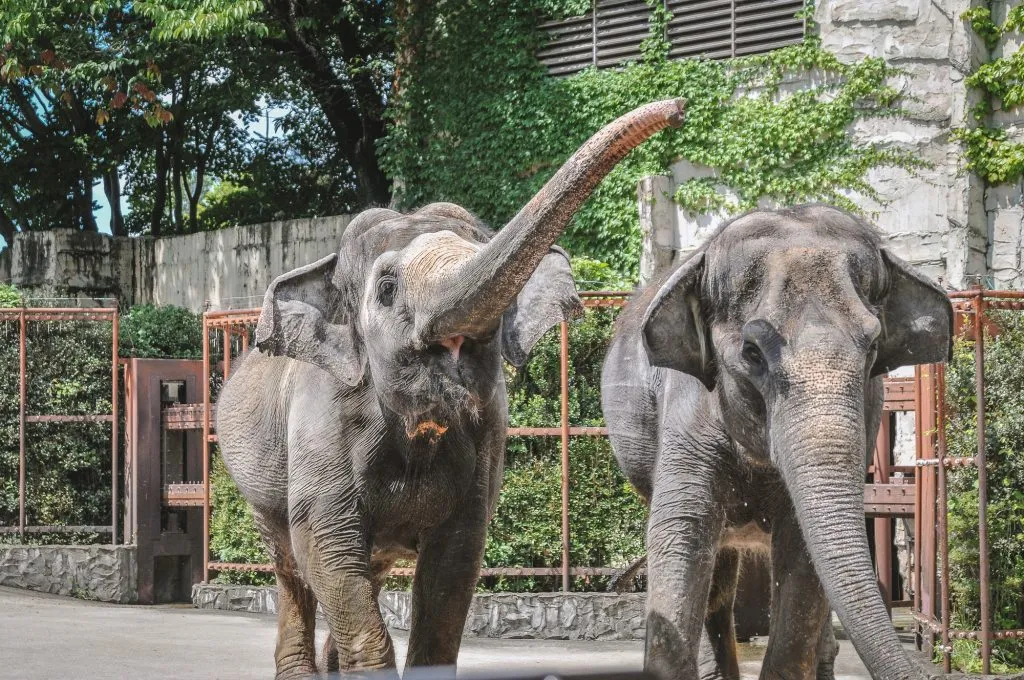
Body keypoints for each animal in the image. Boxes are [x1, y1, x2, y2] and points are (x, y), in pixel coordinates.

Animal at [214, 96, 688, 680]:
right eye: (387, 288)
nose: (678, 109)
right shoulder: (320, 420)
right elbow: (325, 545)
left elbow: (454, 562)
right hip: (255, 482)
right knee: (292, 568)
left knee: (363, 570)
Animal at [598, 204, 950, 680]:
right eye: (752, 353)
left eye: (874, 347)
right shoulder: (687, 411)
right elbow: (681, 530)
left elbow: (804, 553)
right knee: (719, 580)